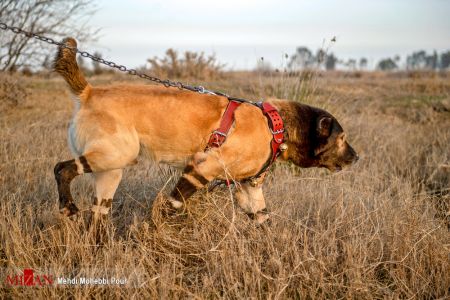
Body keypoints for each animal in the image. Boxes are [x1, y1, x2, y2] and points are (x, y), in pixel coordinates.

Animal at [52, 38, 358, 224]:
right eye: (342, 139)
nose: (356, 157)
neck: (274, 125)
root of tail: (90, 92)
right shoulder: (200, 168)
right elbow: (170, 207)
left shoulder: (249, 190)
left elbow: (263, 220)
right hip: (115, 156)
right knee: (61, 169)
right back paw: (68, 207)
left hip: (110, 172)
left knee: (97, 214)